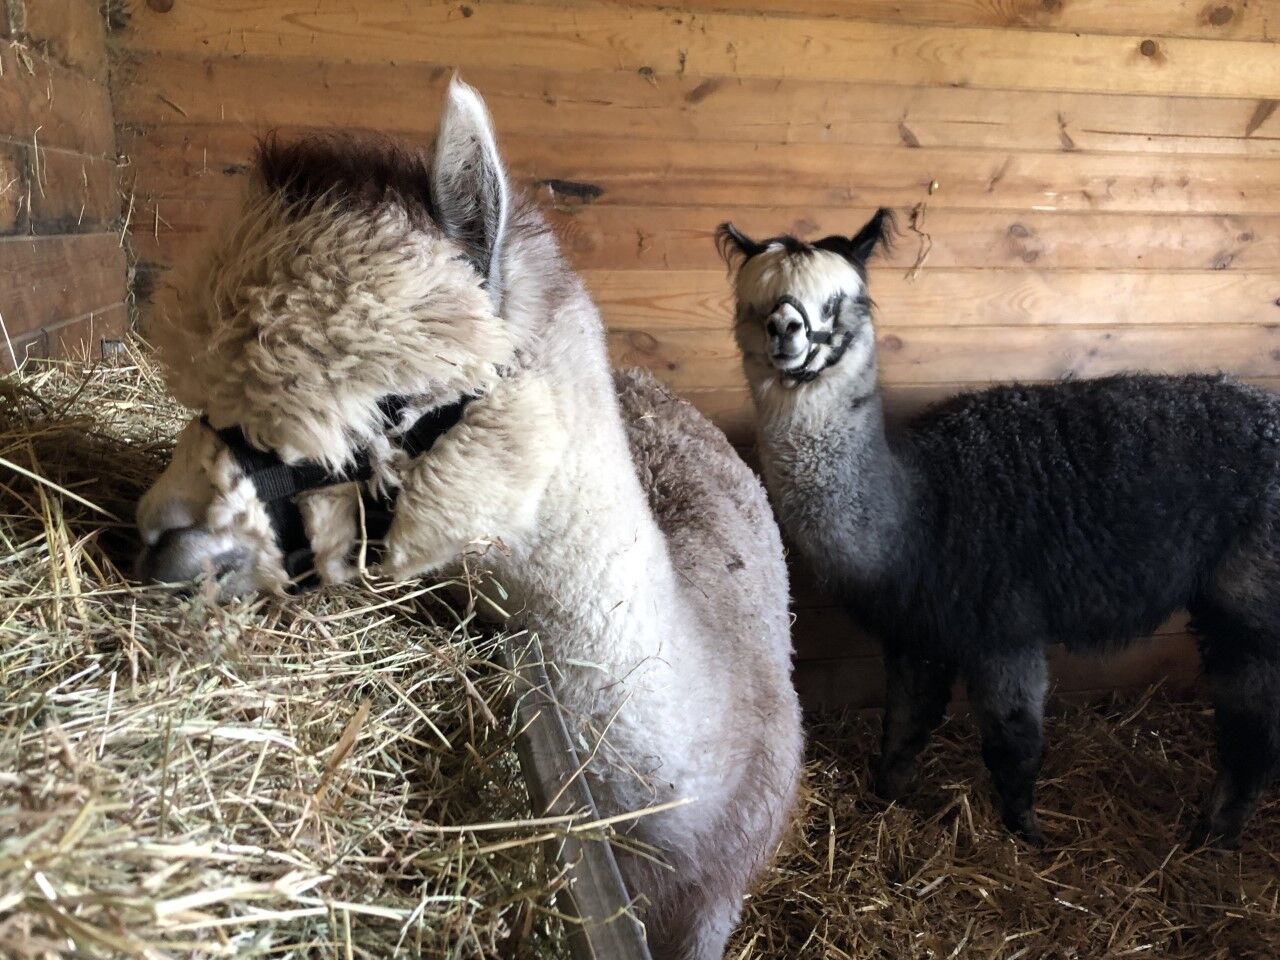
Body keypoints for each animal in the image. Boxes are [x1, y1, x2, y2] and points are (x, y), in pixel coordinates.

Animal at [719, 208, 1280, 849]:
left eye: (837, 304)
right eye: (757, 304)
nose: (785, 329)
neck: (917, 515)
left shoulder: (1003, 627)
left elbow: (1014, 744)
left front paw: (1029, 833)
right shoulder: (918, 630)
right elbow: (904, 726)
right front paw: (886, 801)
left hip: (1250, 594)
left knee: (1253, 731)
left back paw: (1213, 834)